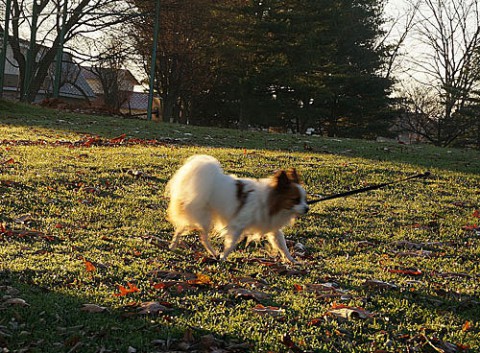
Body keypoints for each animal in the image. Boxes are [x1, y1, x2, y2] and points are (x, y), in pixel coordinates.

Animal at [164, 154, 308, 262]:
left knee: (182, 228)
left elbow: (283, 245)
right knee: (202, 237)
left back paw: (173, 245)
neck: (268, 200)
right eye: (295, 199)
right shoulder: (238, 225)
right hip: (205, 217)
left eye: (304, 199)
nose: (307, 209)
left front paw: (292, 260)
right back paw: (213, 253)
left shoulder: (273, 228)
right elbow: (231, 244)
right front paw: (223, 258)